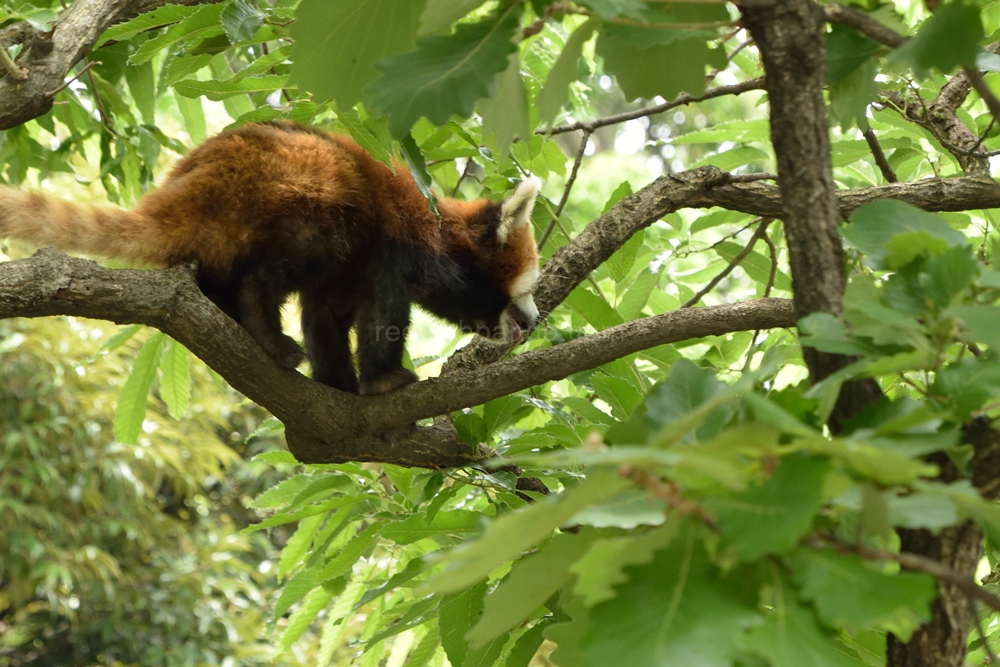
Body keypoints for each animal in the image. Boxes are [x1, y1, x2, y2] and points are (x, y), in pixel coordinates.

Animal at [0, 122, 540, 394]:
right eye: (528, 289)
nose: (534, 321)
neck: (435, 229)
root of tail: (181, 196)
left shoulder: (350, 271)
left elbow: (326, 317)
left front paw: (337, 382)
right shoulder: (390, 251)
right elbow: (382, 314)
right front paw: (384, 380)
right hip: (296, 194)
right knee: (267, 274)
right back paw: (269, 338)